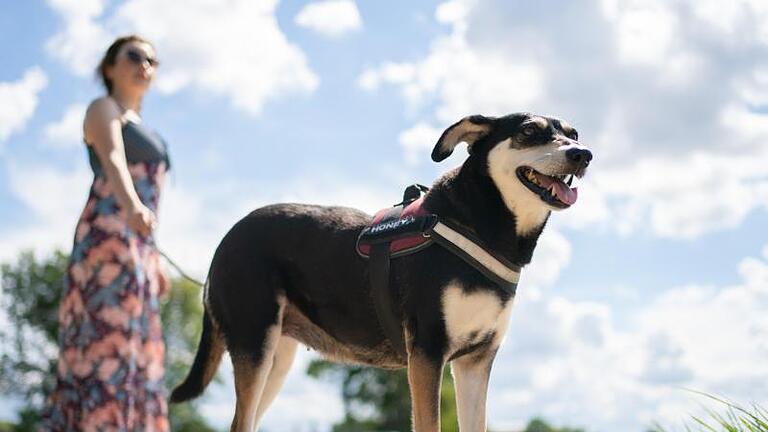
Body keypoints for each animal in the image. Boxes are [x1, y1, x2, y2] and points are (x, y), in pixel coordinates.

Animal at [171, 113, 592, 430]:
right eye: (529, 132)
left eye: (573, 134)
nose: (583, 154)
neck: (481, 226)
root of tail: (226, 240)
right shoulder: (428, 351)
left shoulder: (475, 362)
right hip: (255, 346)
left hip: (276, 359)